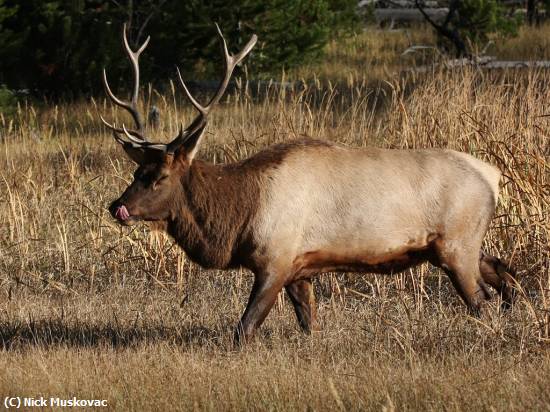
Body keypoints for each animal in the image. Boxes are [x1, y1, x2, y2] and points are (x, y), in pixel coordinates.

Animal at [102, 24, 516, 342]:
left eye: (159, 177)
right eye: (136, 173)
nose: (117, 206)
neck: (238, 216)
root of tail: (493, 177)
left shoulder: (275, 258)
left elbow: (244, 329)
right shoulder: (299, 270)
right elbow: (309, 325)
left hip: (456, 245)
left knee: (482, 300)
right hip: (458, 244)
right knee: (503, 272)